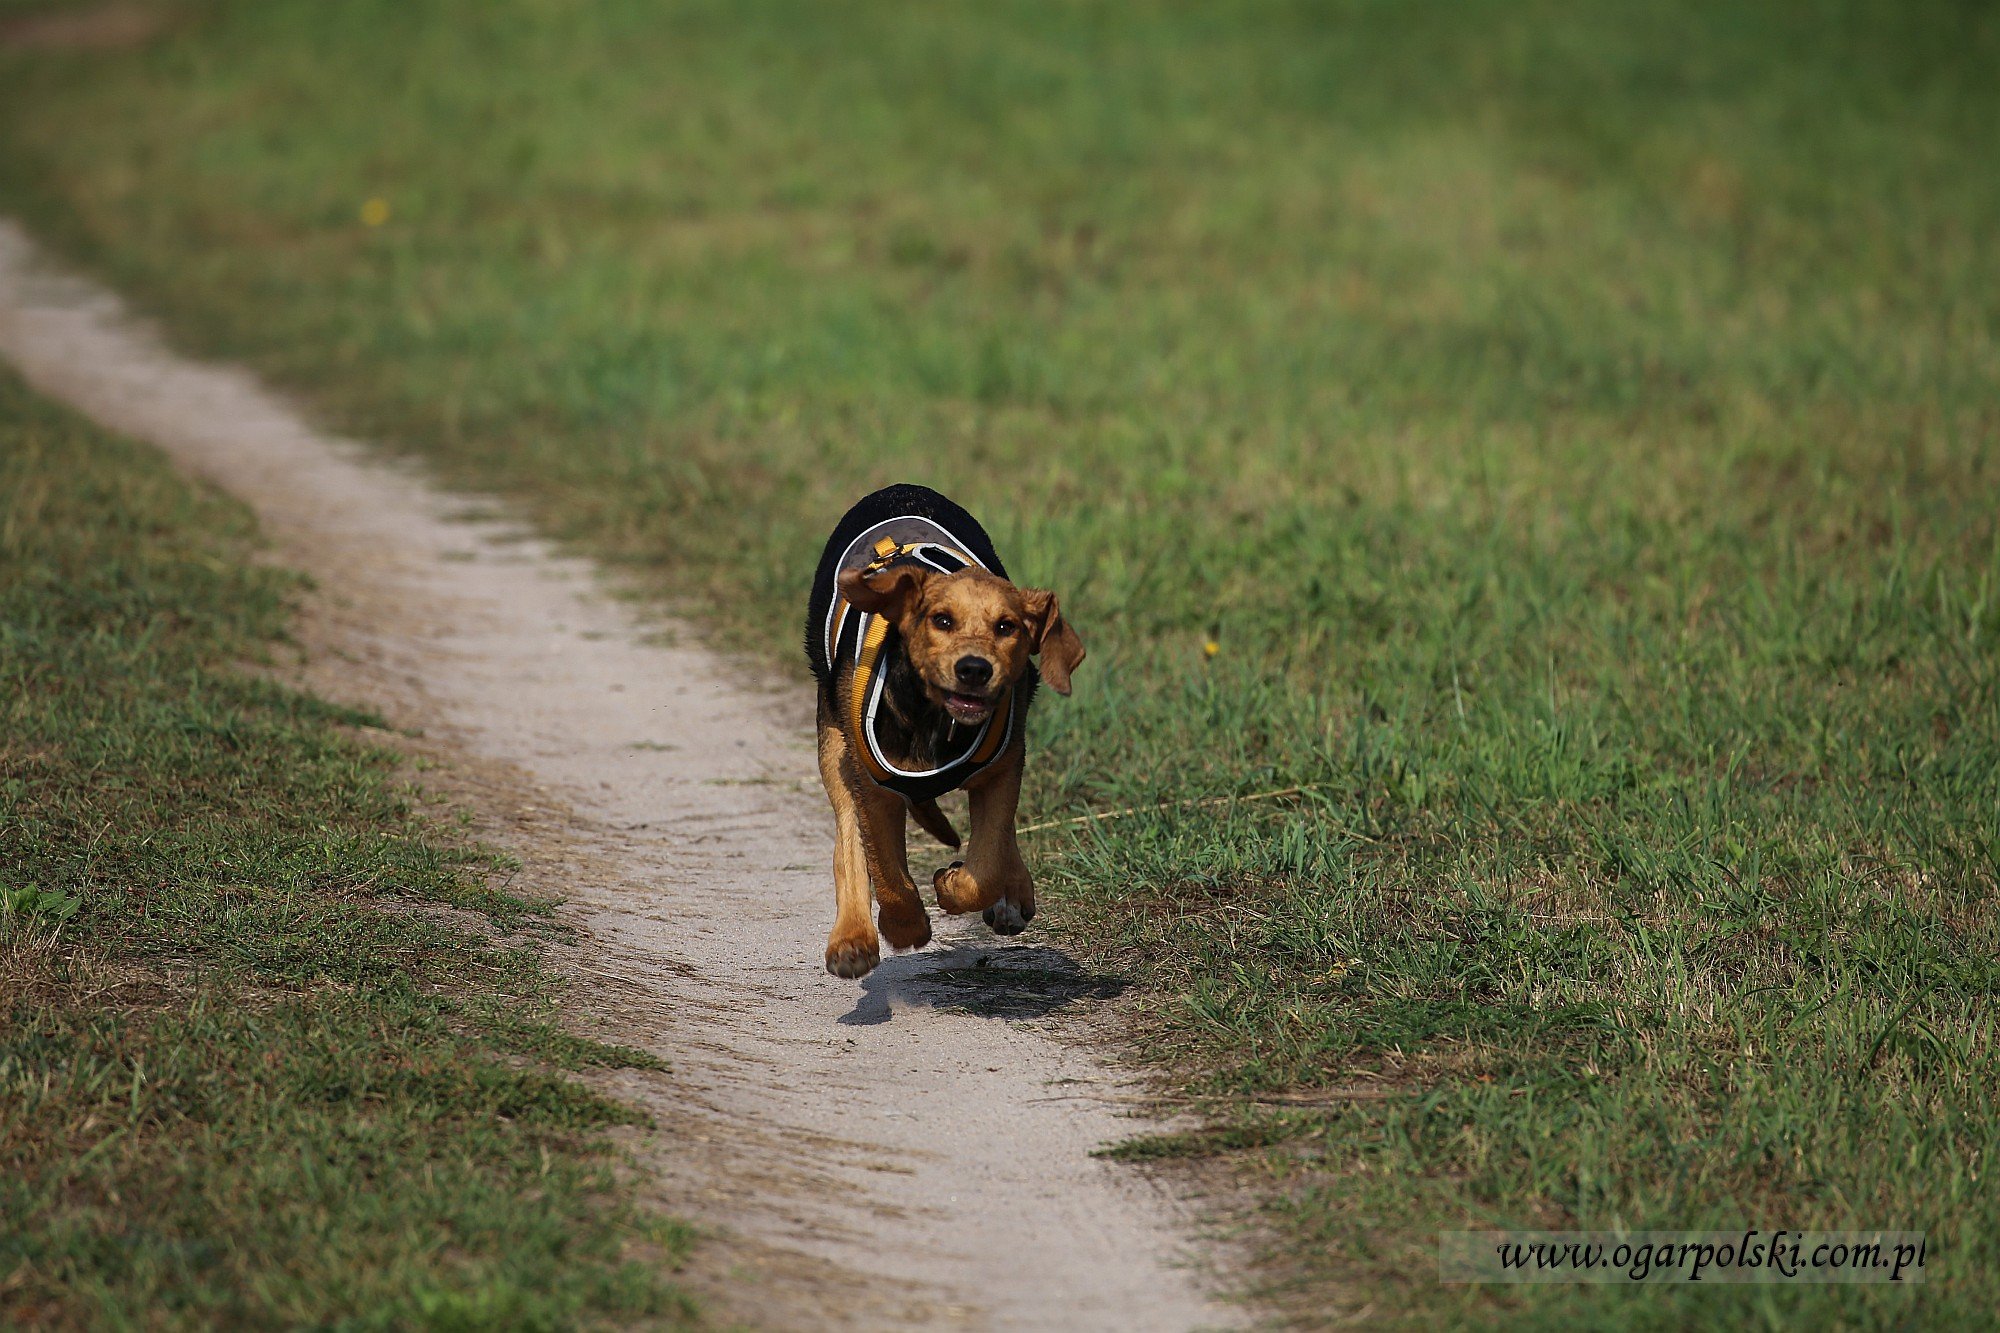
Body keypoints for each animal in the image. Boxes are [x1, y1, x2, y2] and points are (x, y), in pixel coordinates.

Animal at [804, 486, 1088, 976]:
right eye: (941, 620)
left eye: (1006, 627)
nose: (974, 669)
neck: (935, 719)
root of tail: (900, 488)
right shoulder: (872, 783)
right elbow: (885, 866)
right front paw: (905, 927)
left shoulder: (1003, 767)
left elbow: (987, 861)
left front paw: (953, 885)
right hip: (834, 746)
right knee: (848, 842)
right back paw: (852, 939)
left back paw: (1013, 895)